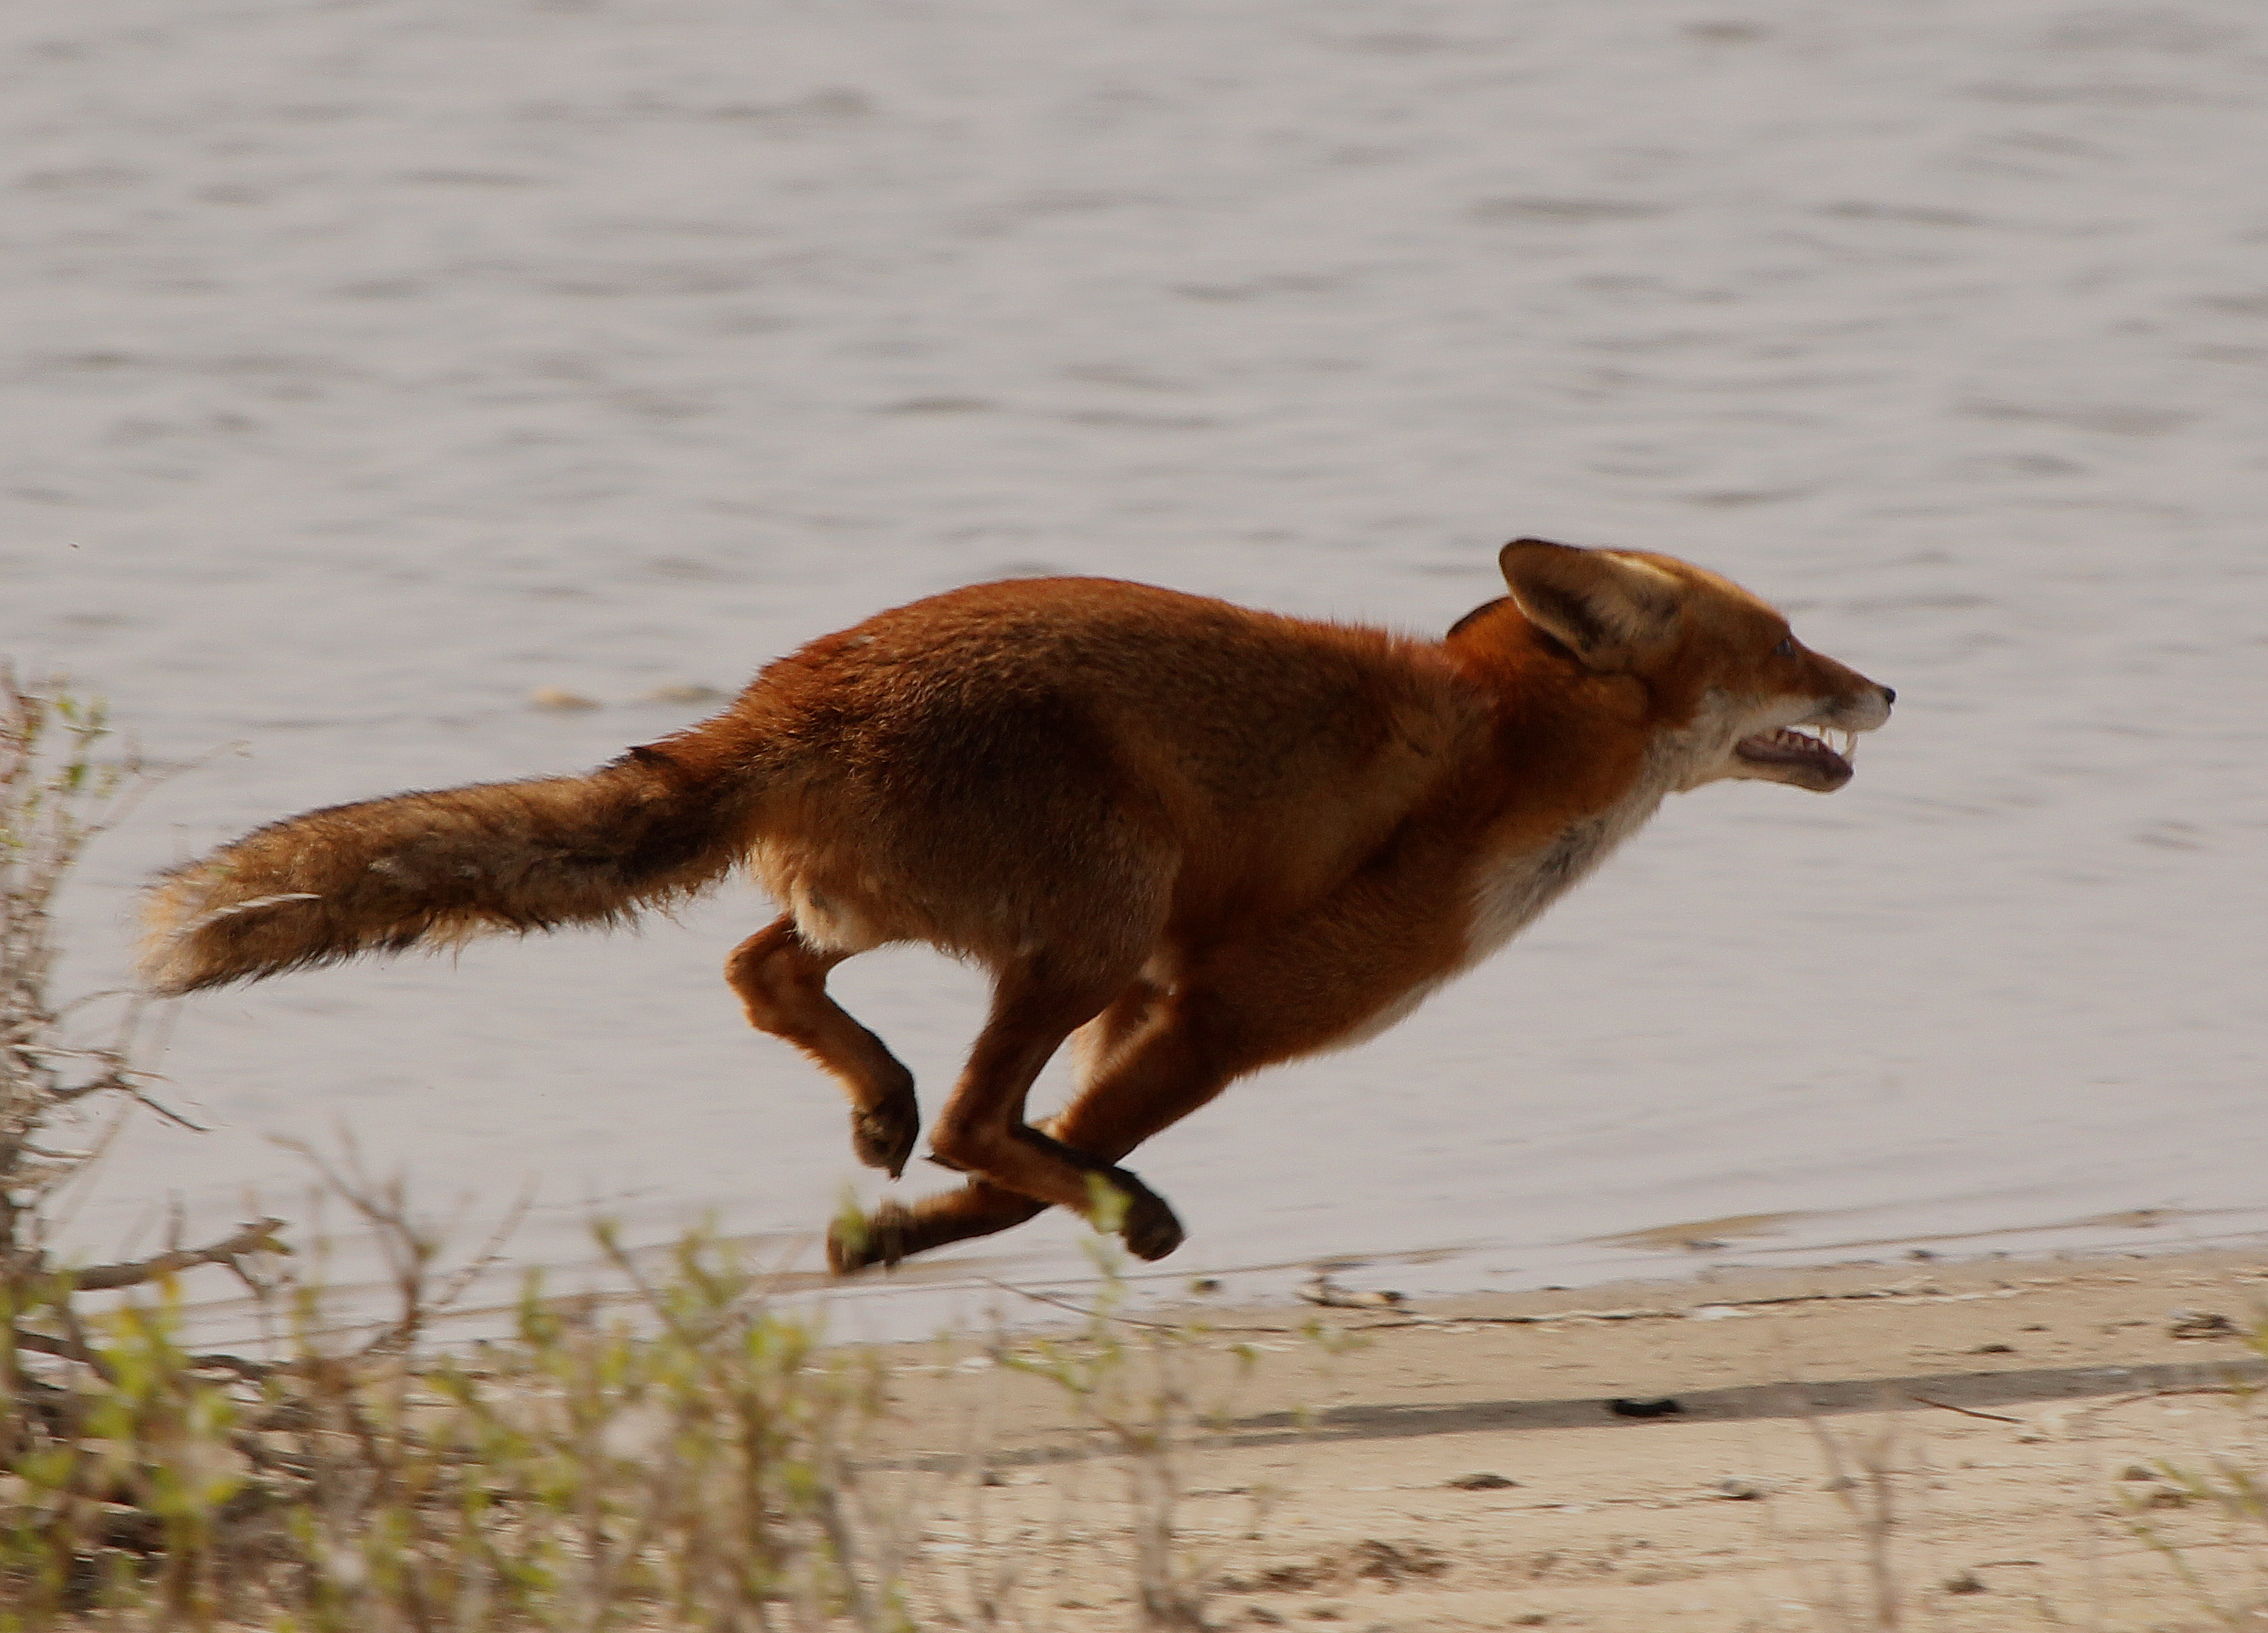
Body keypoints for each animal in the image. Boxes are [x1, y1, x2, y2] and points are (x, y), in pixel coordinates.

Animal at [141, 539, 1892, 1273]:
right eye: (1785, 645)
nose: (1886, 688)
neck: (1513, 756)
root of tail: (787, 694)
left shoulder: (1152, 1004)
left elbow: (1008, 1168)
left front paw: (884, 1236)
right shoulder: (1208, 1014)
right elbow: (1021, 1176)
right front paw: (918, 1240)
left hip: (939, 918)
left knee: (764, 973)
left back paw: (873, 1107)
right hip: (1093, 916)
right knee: (975, 1114)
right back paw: (1035, 1187)